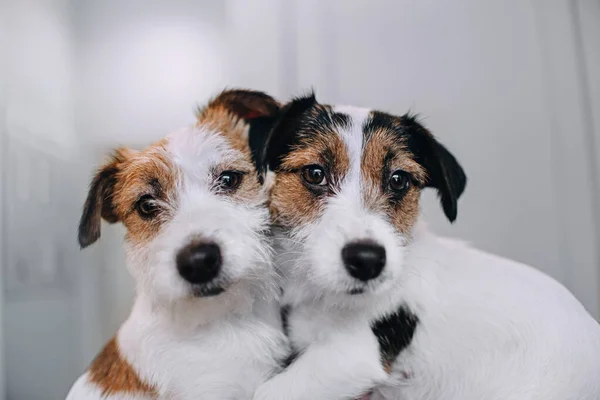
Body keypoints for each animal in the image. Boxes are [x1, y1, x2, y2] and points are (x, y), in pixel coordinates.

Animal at [251, 93, 600, 400]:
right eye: (314, 173)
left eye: (398, 180)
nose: (367, 261)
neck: (325, 297)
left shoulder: (352, 354)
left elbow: (267, 392)